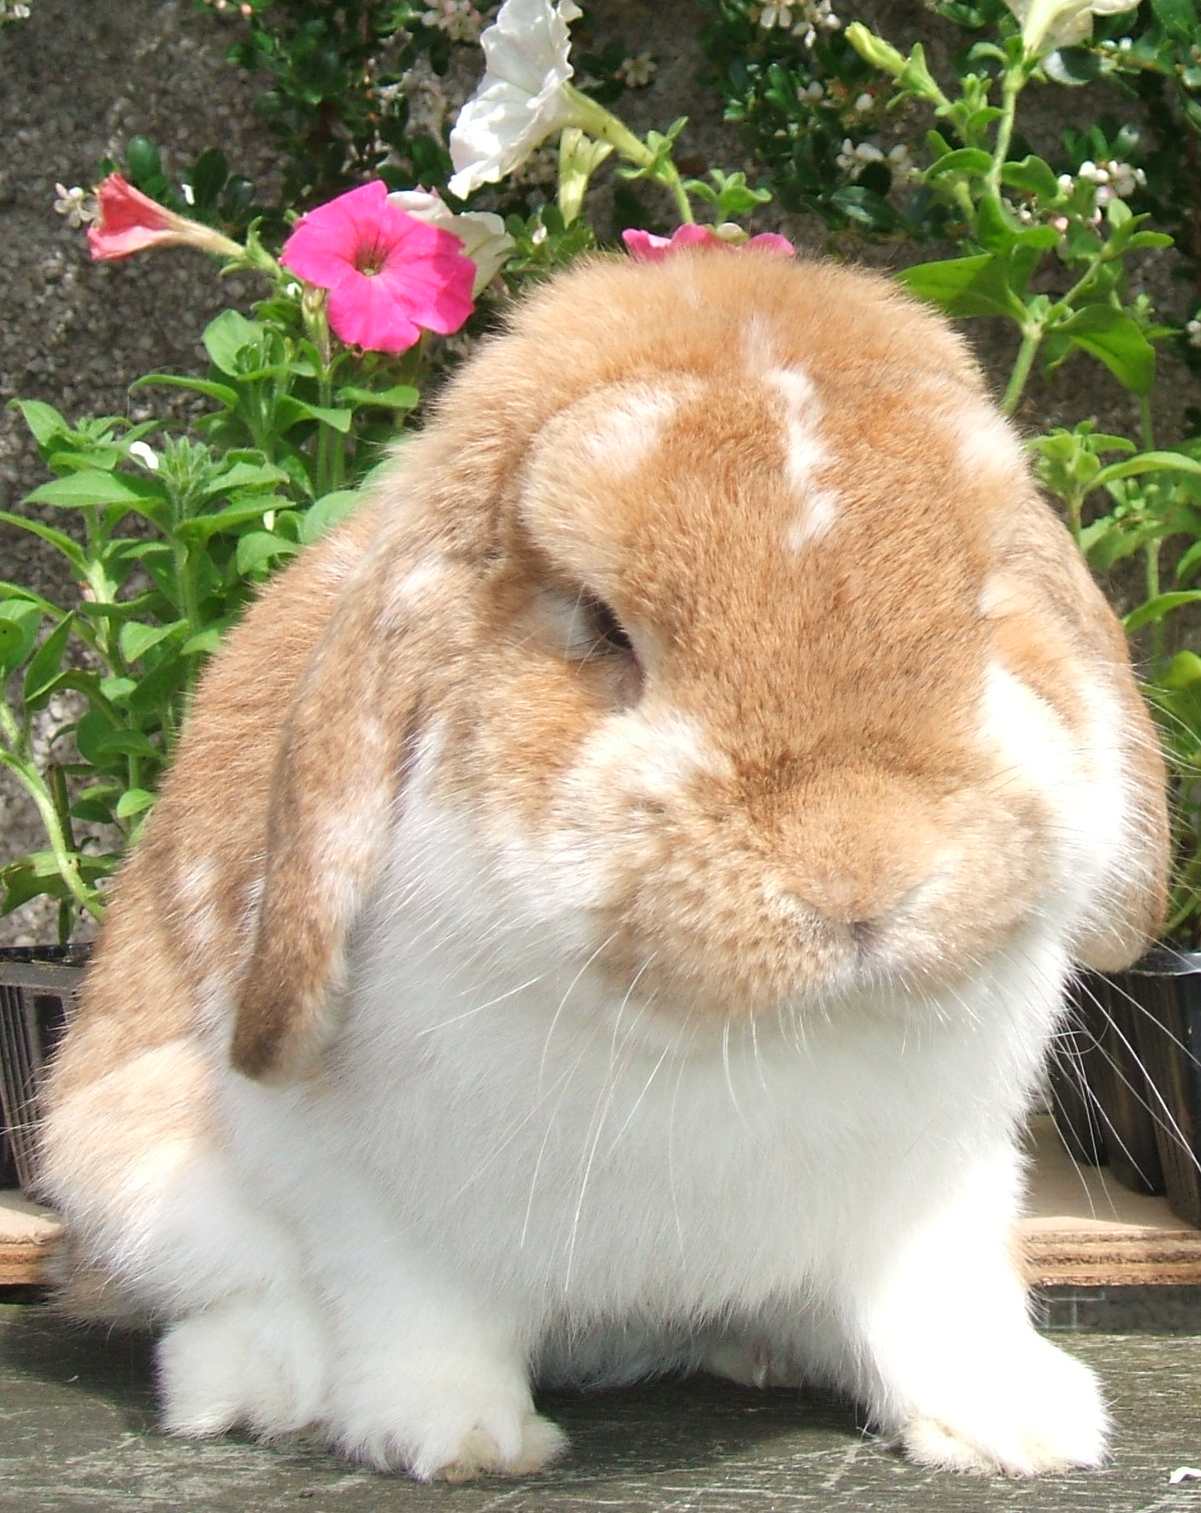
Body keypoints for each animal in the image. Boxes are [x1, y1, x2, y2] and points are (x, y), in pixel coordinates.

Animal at [37, 249, 1168, 1482]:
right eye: (602, 624)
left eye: (980, 601)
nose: (858, 872)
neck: (749, 1037)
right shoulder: (382, 1211)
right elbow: (416, 1317)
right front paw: (455, 1438)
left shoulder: (940, 1198)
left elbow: (935, 1310)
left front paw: (1025, 1427)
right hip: (128, 1166)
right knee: (225, 1308)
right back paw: (259, 1389)